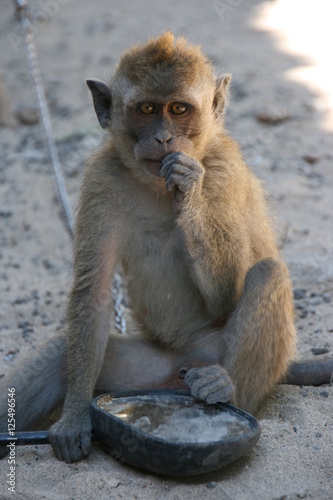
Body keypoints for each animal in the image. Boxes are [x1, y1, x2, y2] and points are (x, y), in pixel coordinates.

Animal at [0, 34, 332, 464]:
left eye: (178, 109)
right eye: (146, 110)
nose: (163, 139)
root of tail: (182, 366)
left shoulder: (222, 172)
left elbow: (228, 292)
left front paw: (187, 190)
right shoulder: (101, 178)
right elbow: (93, 290)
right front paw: (74, 419)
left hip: (217, 355)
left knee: (267, 273)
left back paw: (226, 391)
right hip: (148, 370)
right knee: (62, 352)